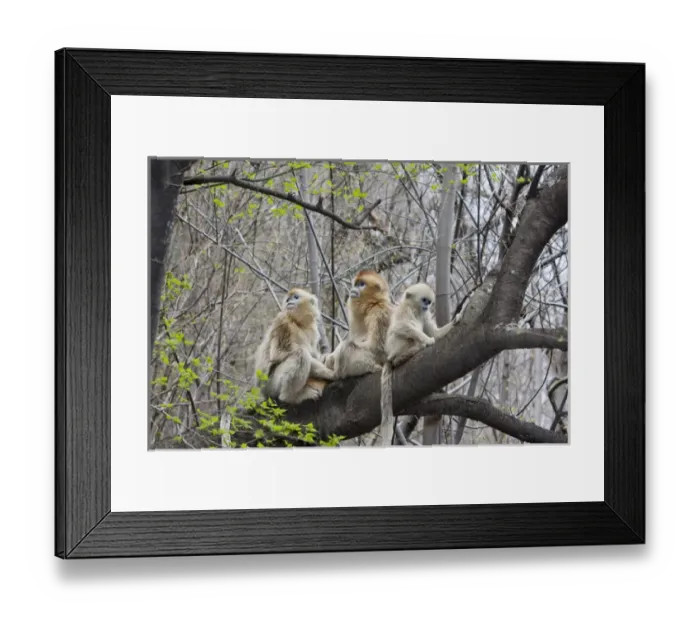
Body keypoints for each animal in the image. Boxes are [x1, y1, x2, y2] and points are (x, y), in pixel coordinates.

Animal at [379, 283, 465, 446]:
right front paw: (427, 340)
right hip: (395, 347)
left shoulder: (424, 315)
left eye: (429, 302)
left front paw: (456, 319)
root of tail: (389, 357)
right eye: (424, 300)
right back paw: (407, 354)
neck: (415, 310)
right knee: (404, 332)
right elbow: (399, 326)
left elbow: (436, 333)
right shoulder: (404, 311)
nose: (427, 306)